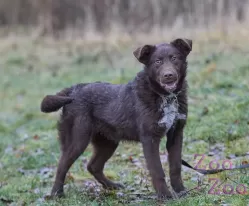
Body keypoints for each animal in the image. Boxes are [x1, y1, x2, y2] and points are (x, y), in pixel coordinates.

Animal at [40, 38, 193, 198]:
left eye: (174, 58)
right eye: (157, 61)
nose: (168, 75)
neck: (165, 96)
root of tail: (72, 90)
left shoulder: (176, 134)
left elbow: (175, 167)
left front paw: (181, 191)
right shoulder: (150, 138)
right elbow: (157, 171)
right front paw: (165, 196)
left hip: (108, 141)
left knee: (93, 166)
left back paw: (111, 186)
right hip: (77, 140)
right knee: (62, 165)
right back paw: (57, 193)